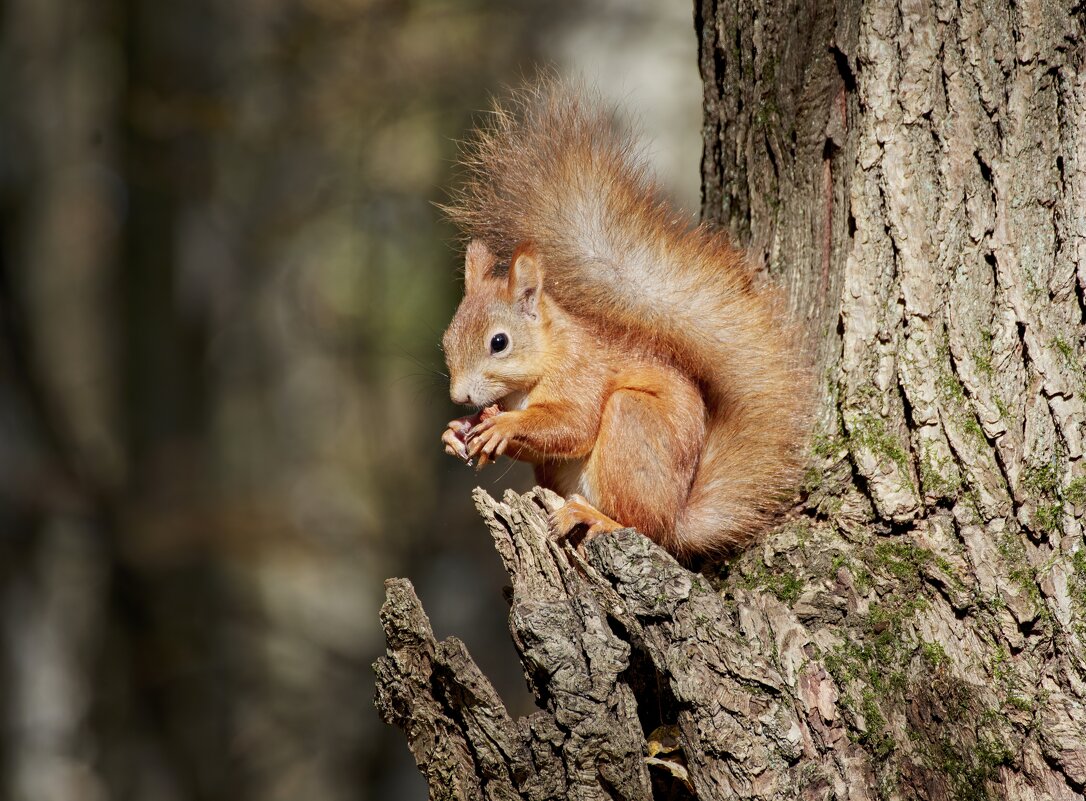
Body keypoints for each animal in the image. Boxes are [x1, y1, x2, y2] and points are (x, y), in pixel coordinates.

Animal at [434, 79, 807, 555]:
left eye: (499, 342)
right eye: (446, 341)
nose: (460, 396)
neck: (548, 356)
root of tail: (678, 516)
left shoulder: (584, 375)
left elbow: (573, 426)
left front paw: (503, 424)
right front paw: (457, 431)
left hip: (633, 425)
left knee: (641, 524)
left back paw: (595, 517)